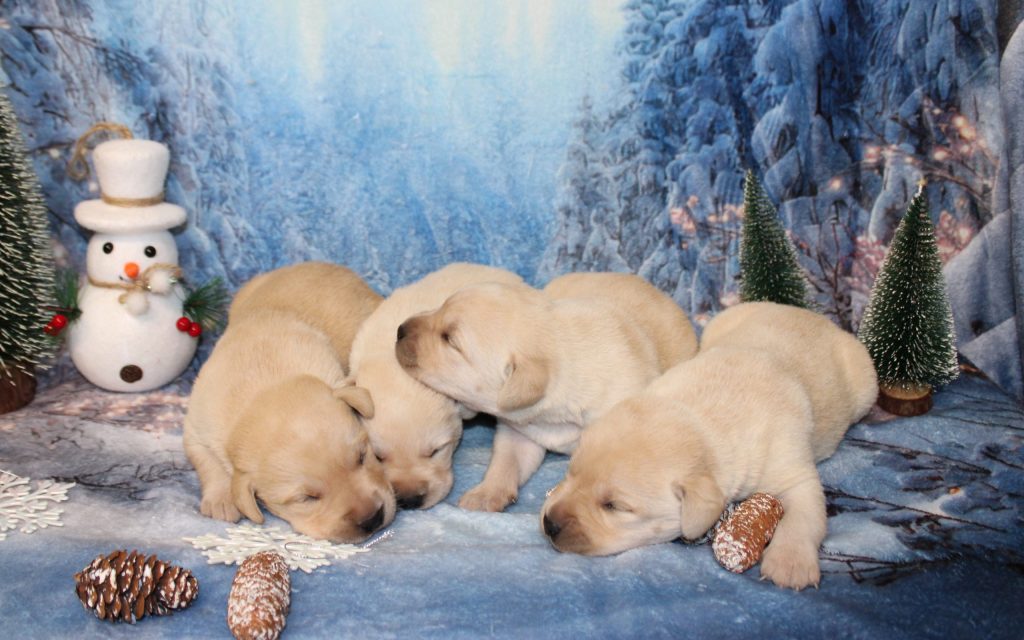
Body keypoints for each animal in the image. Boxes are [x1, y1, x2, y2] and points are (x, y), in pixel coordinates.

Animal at [184, 262, 395, 542]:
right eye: (306, 498)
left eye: (362, 457)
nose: (373, 518)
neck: (264, 385)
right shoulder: (198, 422)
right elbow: (206, 460)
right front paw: (221, 499)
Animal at [540, 302, 878, 590]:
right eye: (570, 473)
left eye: (614, 506)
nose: (549, 523)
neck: (701, 416)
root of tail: (803, 310)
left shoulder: (793, 470)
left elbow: (804, 514)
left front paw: (790, 563)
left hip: (865, 383)